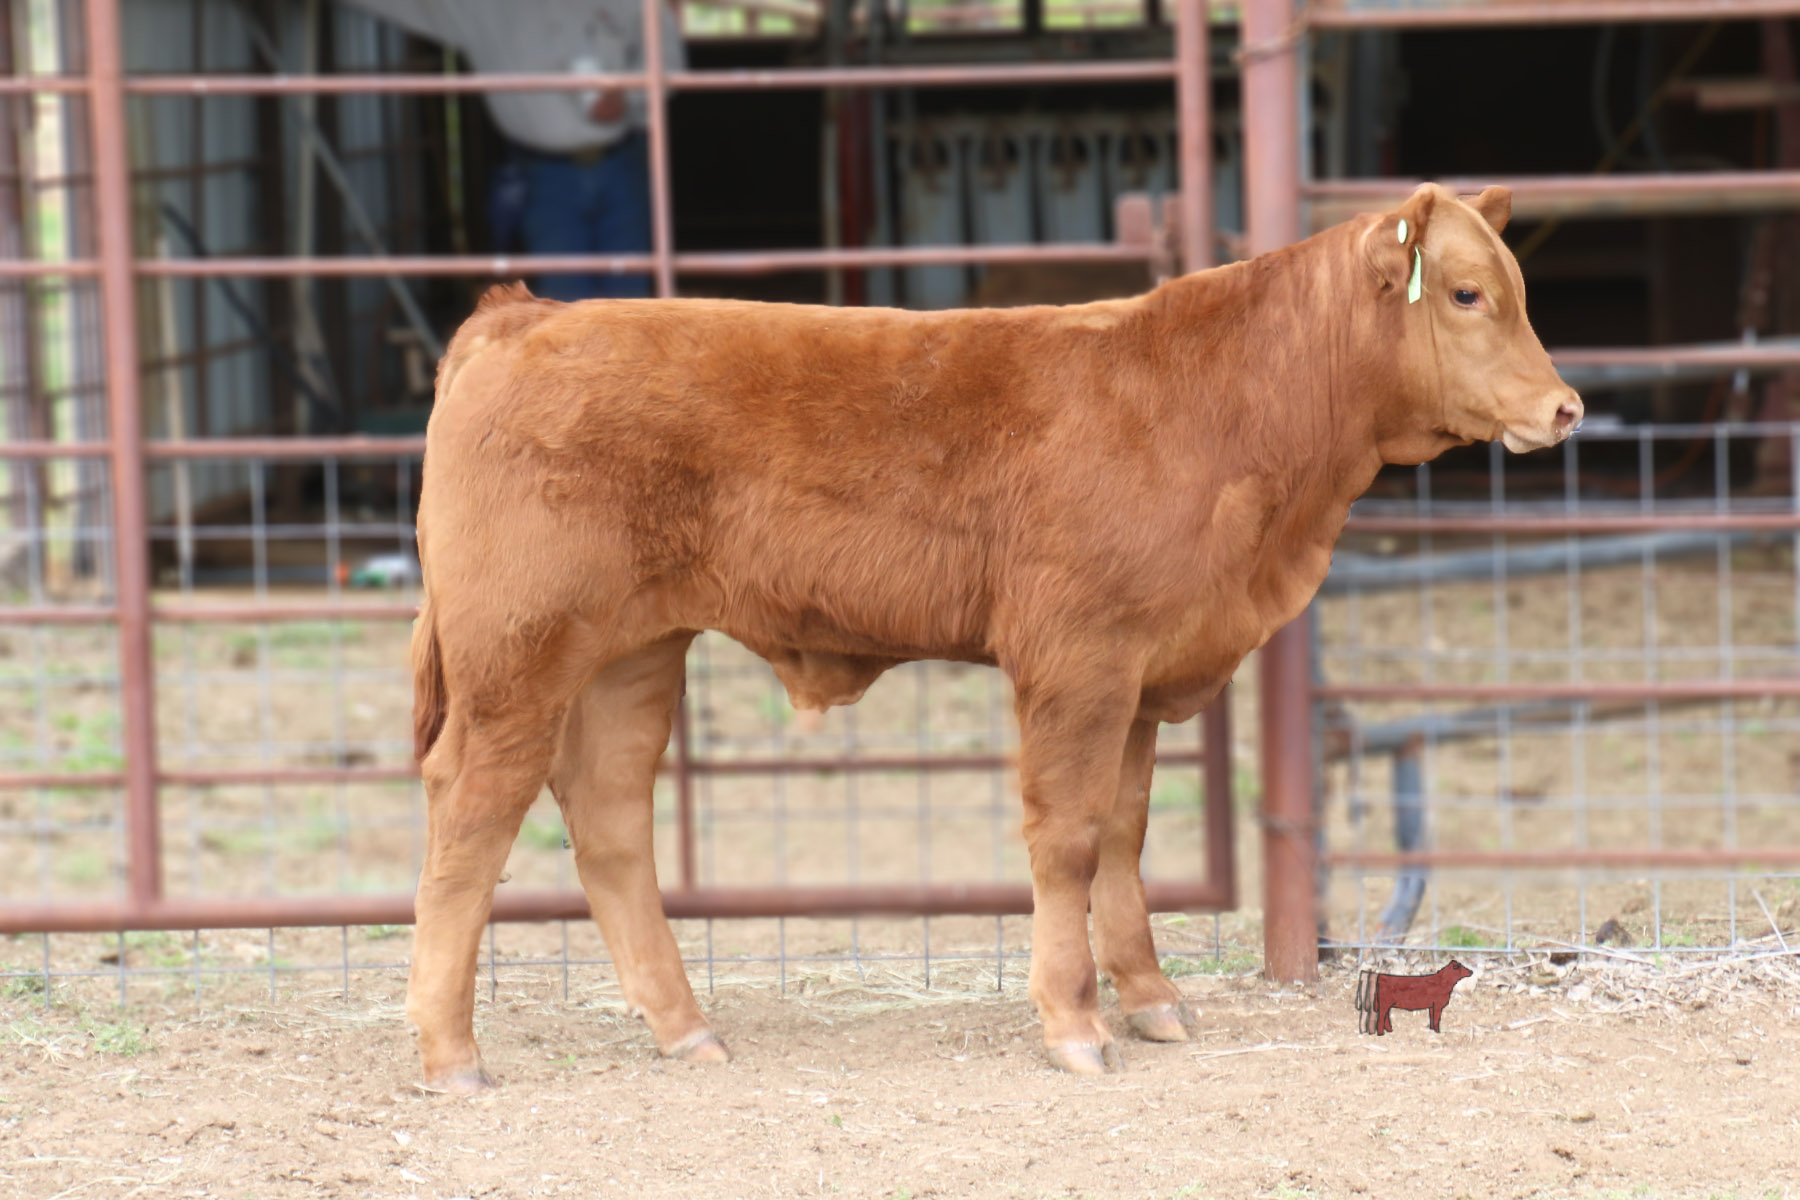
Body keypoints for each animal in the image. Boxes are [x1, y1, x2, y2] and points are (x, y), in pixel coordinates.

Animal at [406, 182, 1580, 1090]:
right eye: (1467, 293)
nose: (1565, 408)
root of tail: (524, 315)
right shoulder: (1078, 656)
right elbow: (1066, 839)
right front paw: (1073, 1024)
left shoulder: (1139, 673)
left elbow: (1123, 835)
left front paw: (1150, 1000)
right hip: (517, 653)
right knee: (471, 813)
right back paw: (450, 1051)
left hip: (629, 652)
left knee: (607, 815)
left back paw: (687, 1028)